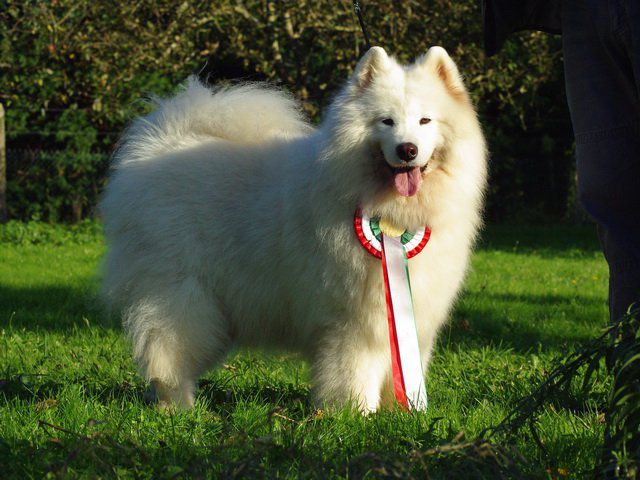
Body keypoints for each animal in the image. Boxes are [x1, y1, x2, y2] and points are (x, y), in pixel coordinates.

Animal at [102, 47, 488, 410]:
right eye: (386, 121)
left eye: (425, 121)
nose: (407, 149)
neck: (391, 211)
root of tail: (162, 143)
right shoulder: (353, 321)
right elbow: (355, 372)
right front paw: (355, 415)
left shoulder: (414, 314)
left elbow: (404, 368)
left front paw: (402, 411)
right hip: (181, 295)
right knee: (167, 356)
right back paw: (177, 408)